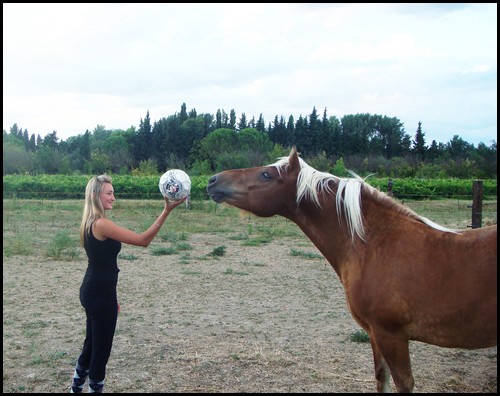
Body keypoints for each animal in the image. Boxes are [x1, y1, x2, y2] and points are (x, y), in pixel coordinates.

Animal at [206, 146, 496, 392]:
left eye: (266, 174)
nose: (213, 180)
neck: (376, 242)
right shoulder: (375, 335)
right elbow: (381, 378)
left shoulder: (391, 335)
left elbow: (403, 382)